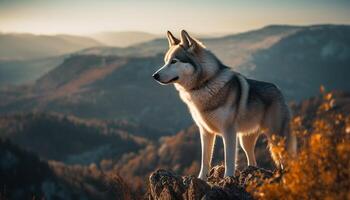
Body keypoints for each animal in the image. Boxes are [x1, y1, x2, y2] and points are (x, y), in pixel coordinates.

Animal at [152, 30, 296, 180]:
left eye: (174, 61)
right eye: (165, 62)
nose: (154, 76)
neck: (205, 84)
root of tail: (278, 89)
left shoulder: (229, 132)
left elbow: (229, 159)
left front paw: (228, 178)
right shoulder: (205, 132)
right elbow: (205, 160)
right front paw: (201, 179)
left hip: (275, 138)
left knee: (285, 159)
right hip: (245, 140)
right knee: (252, 160)